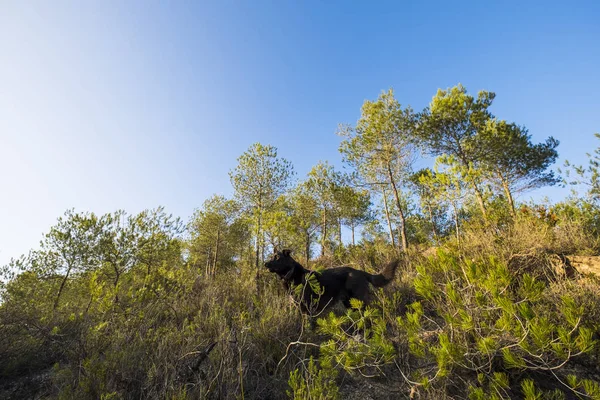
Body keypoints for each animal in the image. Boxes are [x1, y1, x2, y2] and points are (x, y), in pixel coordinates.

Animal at [266, 250, 398, 312]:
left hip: (359, 301)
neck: (291, 273)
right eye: (271, 257)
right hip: (349, 303)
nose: (265, 264)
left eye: (277, 258)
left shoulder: (308, 308)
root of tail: (360, 271)